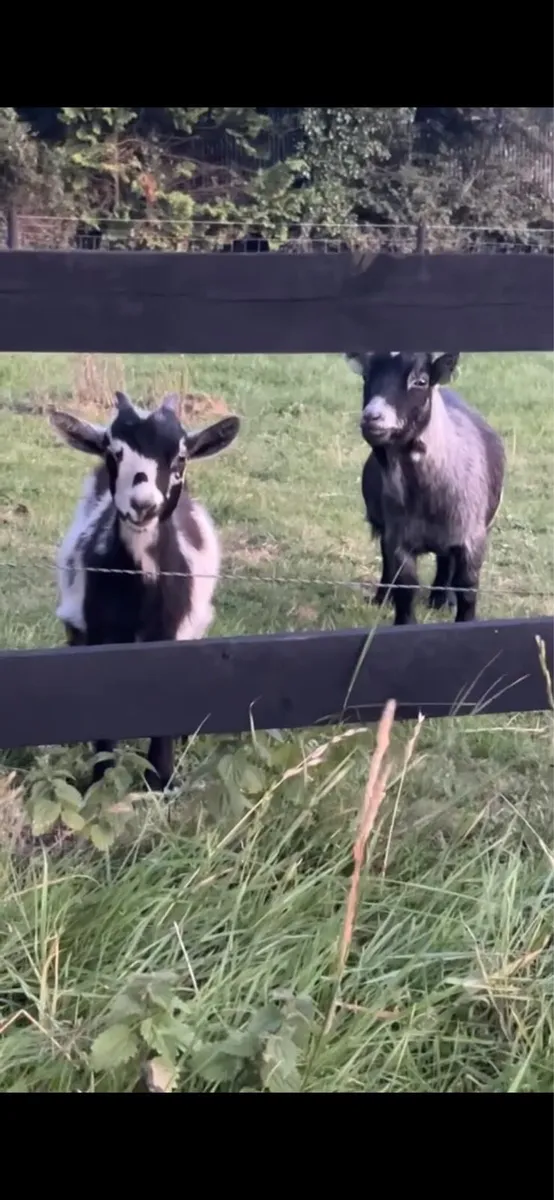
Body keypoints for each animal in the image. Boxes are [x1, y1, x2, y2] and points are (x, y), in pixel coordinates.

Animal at [49, 391, 240, 789]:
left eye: (181, 457)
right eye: (113, 451)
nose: (143, 505)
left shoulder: (170, 635)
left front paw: (162, 780)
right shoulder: (101, 634)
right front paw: (103, 779)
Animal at [344, 351, 506, 626]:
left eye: (420, 381)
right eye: (366, 376)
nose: (372, 417)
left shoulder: (472, 537)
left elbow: (467, 588)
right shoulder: (399, 538)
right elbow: (405, 586)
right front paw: (403, 621)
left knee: (445, 561)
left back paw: (441, 600)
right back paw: (383, 598)